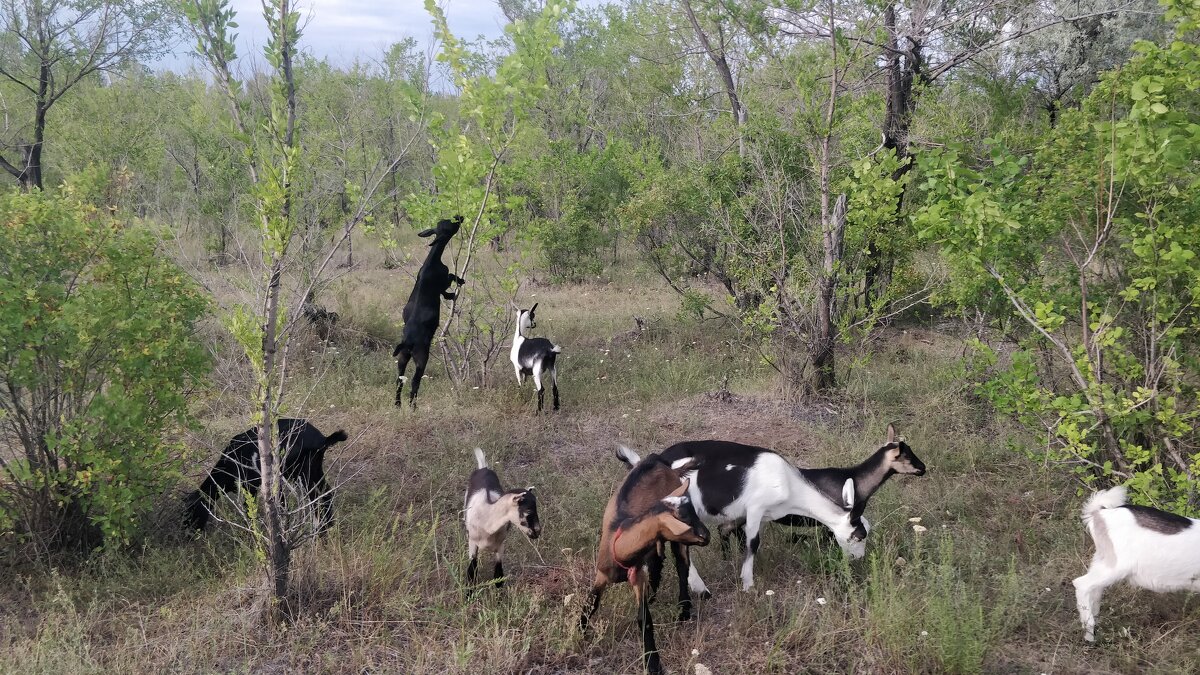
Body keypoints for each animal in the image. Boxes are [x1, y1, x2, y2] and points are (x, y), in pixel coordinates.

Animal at [182, 415, 350, 530]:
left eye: (191, 510)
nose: (188, 532)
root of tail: (322, 439)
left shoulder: (249, 485)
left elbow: (251, 510)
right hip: (314, 469)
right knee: (325, 493)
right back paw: (326, 527)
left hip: (300, 472)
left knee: (314, 497)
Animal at [396, 214, 465, 403]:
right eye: (450, 226)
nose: (459, 217)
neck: (432, 261)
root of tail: (407, 342)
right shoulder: (442, 281)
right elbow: (450, 278)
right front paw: (458, 284)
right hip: (421, 358)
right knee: (414, 381)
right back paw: (412, 404)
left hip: (402, 359)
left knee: (399, 380)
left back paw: (398, 404)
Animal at [576, 449, 705, 675]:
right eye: (685, 522)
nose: (706, 537)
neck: (619, 541)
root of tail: (665, 464)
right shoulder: (603, 573)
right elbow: (591, 602)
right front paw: (581, 631)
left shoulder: (637, 575)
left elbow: (644, 619)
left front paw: (653, 664)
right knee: (657, 561)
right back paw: (654, 595)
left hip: (676, 545)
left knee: (682, 567)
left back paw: (683, 610)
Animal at [614, 422, 931, 600]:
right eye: (857, 536)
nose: (859, 560)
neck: (790, 486)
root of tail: (648, 462)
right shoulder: (755, 508)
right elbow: (752, 544)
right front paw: (748, 584)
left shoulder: (762, 516)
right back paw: (700, 589)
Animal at [1075, 485, 1200, 638]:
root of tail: (1100, 512)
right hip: (1116, 566)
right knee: (1081, 584)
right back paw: (1089, 634)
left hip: (1102, 559)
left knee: (1095, 590)